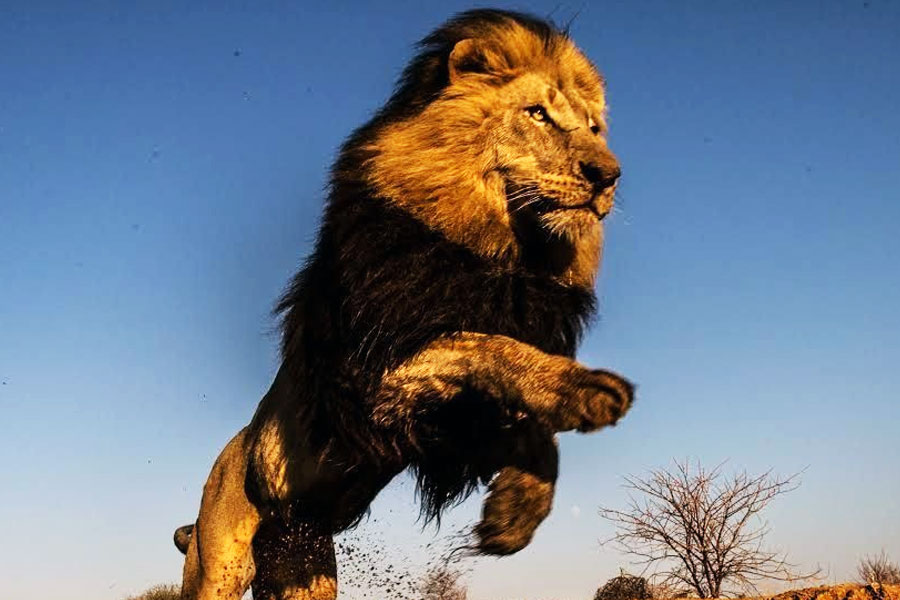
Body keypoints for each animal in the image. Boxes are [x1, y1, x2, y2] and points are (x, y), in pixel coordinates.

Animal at [175, 9, 633, 600]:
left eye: (594, 128)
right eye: (537, 114)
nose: (609, 176)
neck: (504, 254)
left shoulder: (459, 423)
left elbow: (533, 425)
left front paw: (515, 512)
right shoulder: (369, 380)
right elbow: (480, 346)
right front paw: (587, 391)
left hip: (302, 564)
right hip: (218, 566)